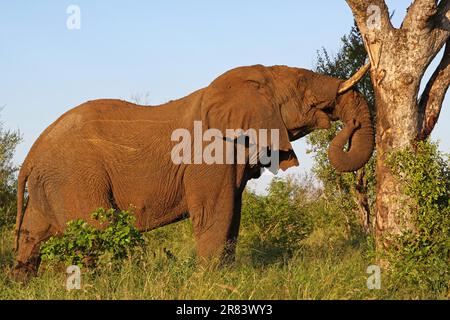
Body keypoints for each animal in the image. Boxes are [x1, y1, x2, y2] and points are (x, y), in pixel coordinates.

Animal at [12, 63, 374, 278]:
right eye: (302, 83)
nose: (349, 126)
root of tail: (31, 153)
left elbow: (233, 215)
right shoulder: (209, 154)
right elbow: (216, 213)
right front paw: (212, 281)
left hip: (50, 184)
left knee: (31, 237)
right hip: (75, 177)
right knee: (96, 233)